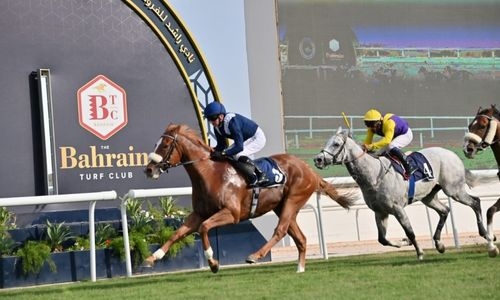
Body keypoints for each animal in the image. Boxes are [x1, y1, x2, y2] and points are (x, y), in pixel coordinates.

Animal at [141, 123, 356, 274]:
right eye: (155, 144)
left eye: (165, 145)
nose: (149, 170)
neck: (210, 174)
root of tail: (309, 169)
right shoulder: (198, 213)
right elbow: (177, 234)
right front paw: (152, 258)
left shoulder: (231, 214)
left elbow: (204, 228)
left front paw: (213, 262)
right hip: (282, 206)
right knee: (299, 238)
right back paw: (300, 269)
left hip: (293, 200)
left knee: (280, 230)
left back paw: (255, 255)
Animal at [314, 127, 490, 258]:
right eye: (328, 142)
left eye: (336, 144)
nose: (318, 159)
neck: (374, 175)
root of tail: (453, 154)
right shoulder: (380, 212)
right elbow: (382, 239)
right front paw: (405, 242)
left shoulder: (398, 208)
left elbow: (410, 231)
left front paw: (420, 252)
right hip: (429, 197)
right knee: (445, 210)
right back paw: (439, 244)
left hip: (454, 190)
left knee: (475, 202)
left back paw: (486, 234)